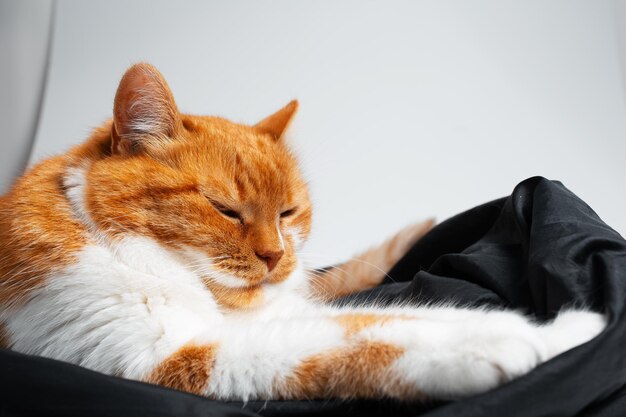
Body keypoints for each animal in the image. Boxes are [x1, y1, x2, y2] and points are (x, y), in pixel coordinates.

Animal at [0, 63, 604, 402]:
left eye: (288, 213)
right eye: (224, 209)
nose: (275, 257)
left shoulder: (287, 312)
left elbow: (393, 317)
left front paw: (559, 333)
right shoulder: (158, 355)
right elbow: (350, 345)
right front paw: (492, 346)